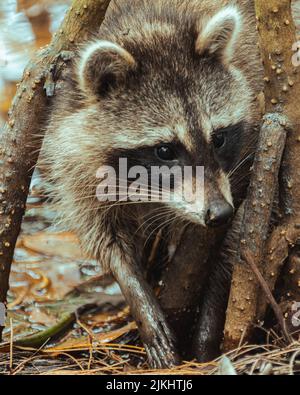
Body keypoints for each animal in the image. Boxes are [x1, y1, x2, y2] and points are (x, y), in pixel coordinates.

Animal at [40, 0, 264, 368]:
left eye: (218, 138)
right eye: (165, 150)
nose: (219, 212)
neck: (151, 25)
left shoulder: (246, 156)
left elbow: (232, 239)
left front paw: (209, 320)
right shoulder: (74, 155)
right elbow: (104, 238)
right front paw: (138, 296)